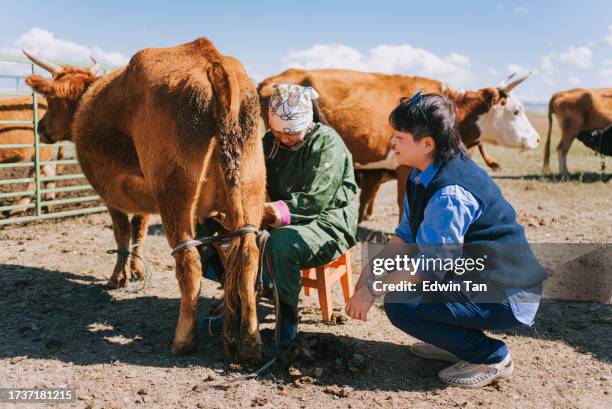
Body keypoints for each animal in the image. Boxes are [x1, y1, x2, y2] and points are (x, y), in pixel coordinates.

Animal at [22, 36, 266, 358]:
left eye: (51, 101)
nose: (40, 128)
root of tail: (210, 59)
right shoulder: (145, 200)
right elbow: (139, 231)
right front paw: (136, 270)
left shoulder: (111, 196)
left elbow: (123, 235)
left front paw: (118, 277)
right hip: (249, 189)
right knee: (248, 255)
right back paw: (249, 341)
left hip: (173, 195)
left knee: (189, 262)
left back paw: (183, 339)